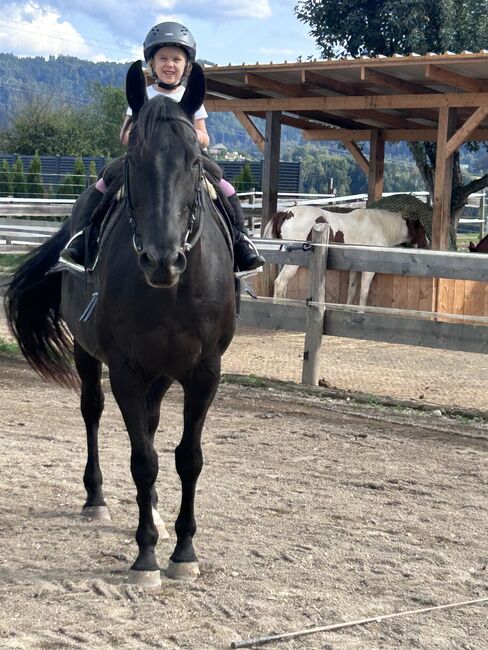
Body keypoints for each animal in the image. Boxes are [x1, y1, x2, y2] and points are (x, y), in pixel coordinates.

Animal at [4, 61, 236, 588]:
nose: (161, 260)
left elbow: (188, 458)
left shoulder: (203, 373)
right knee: (93, 411)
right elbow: (143, 459)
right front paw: (147, 555)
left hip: (164, 372)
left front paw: (184, 550)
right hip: (87, 354)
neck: (172, 290)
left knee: (150, 423)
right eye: (134, 159)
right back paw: (97, 499)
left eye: (195, 161)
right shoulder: (126, 370)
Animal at [265, 206, 429, 306]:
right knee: (280, 283)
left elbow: (352, 290)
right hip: (292, 264)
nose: (427, 243)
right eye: (422, 230)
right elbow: (363, 292)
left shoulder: (354, 268)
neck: (380, 227)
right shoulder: (368, 270)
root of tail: (285, 213)